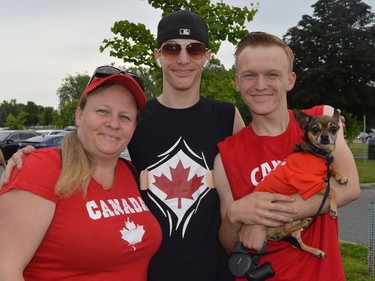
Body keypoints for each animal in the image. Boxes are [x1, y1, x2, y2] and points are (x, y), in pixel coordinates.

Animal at [258, 108, 348, 258]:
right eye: (315, 129)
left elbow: (331, 169)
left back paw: (315, 250)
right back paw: (305, 222)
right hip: (280, 217)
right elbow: (332, 190)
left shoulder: (324, 172)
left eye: (334, 129)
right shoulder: (311, 185)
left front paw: (342, 176)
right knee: (286, 230)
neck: (317, 152)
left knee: (297, 244)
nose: (325, 136)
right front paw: (333, 209)